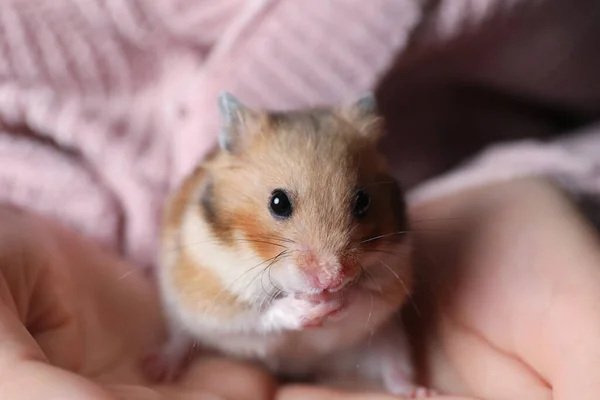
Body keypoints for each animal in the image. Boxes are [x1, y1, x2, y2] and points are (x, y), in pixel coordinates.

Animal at [146, 93, 432, 396]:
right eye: (278, 202)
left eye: (363, 201)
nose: (331, 279)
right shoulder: (211, 293)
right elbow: (259, 314)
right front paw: (309, 306)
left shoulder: (392, 278)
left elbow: (363, 297)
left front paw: (335, 298)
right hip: (178, 312)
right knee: (179, 339)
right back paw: (158, 369)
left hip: (390, 337)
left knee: (395, 367)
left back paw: (418, 391)